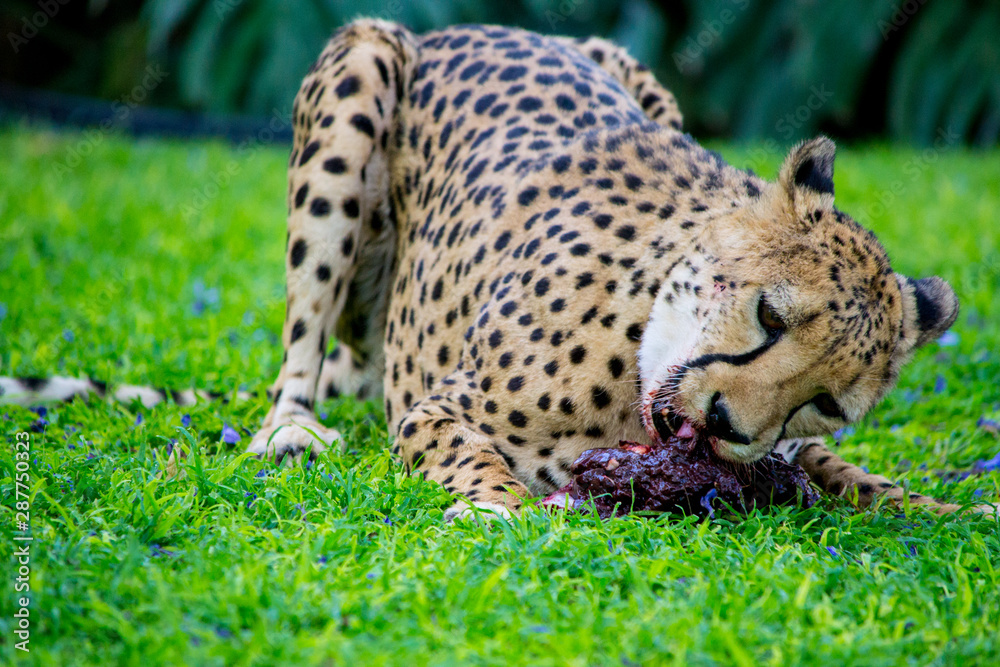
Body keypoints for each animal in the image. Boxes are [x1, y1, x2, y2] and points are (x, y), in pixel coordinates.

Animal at [3, 19, 991, 521]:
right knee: (298, 348)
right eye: (769, 315)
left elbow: (844, 472)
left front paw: (944, 509)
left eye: (826, 398)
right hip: (360, 69)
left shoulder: (786, 448)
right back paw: (291, 428)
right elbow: (475, 458)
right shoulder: (432, 408)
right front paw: (501, 506)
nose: (724, 424)